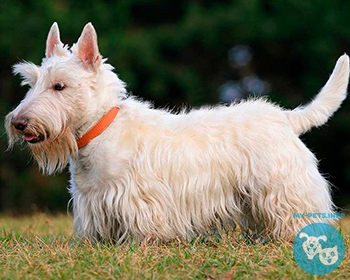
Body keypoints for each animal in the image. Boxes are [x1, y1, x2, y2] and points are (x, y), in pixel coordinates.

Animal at [4, 23, 348, 243]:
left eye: (60, 86)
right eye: (31, 83)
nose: (19, 122)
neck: (99, 129)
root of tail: (285, 118)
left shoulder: (138, 200)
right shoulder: (91, 202)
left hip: (283, 188)